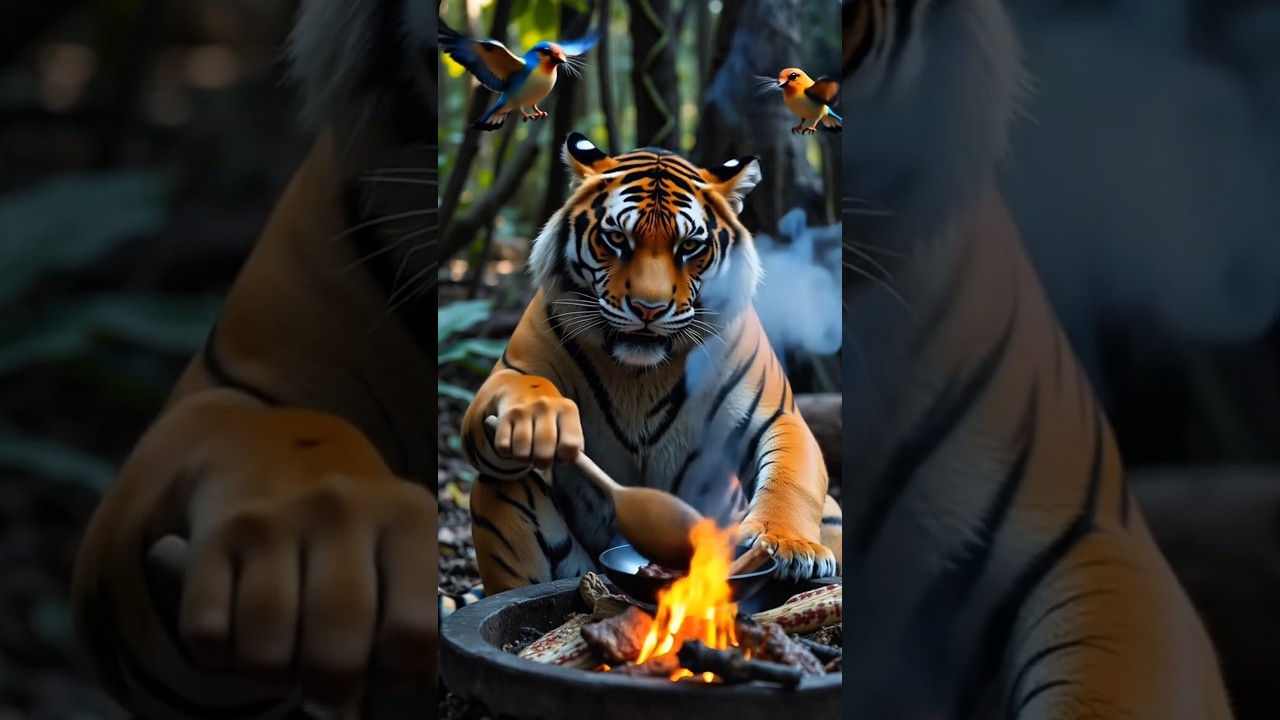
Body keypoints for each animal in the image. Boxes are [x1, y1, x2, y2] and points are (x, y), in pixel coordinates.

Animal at [457, 132, 843, 596]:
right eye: (616, 238)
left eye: (689, 246)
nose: (649, 308)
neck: (639, 372)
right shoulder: (510, 371)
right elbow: (506, 396)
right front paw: (536, 419)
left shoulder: (775, 414)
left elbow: (791, 478)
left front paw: (786, 545)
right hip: (509, 506)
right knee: (502, 487)